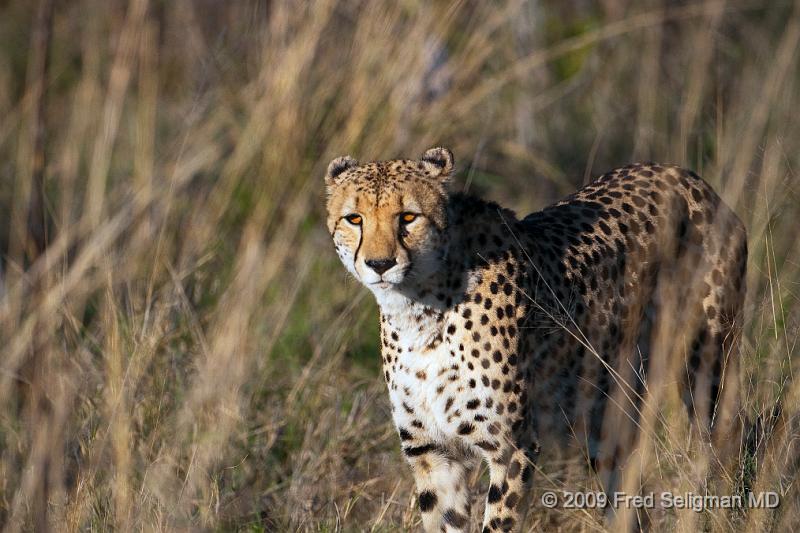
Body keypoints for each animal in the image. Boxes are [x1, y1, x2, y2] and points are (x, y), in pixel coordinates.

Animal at [324, 148, 744, 528]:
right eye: (354, 219)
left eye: (408, 217)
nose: (379, 264)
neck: (419, 312)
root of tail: (684, 173)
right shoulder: (432, 451)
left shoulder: (512, 447)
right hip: (606, 408)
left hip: (705, 371)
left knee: (724, 445)